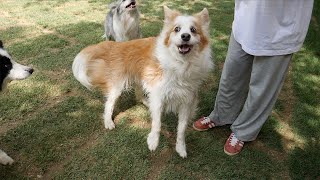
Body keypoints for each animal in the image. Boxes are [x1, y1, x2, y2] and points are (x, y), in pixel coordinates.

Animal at [72, 5, 212, 158]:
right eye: (177, 29)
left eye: (193, 30)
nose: (185, 36)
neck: (181, 63)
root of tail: (116, 45)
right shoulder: (158, 93)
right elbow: (157, 123)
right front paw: (153, 141)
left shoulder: (187, 100)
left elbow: (181, 129)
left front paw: (181, 148)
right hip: (117, 86)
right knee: (109, 103)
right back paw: (108, 121)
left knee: (139, 95)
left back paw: (146, 102)